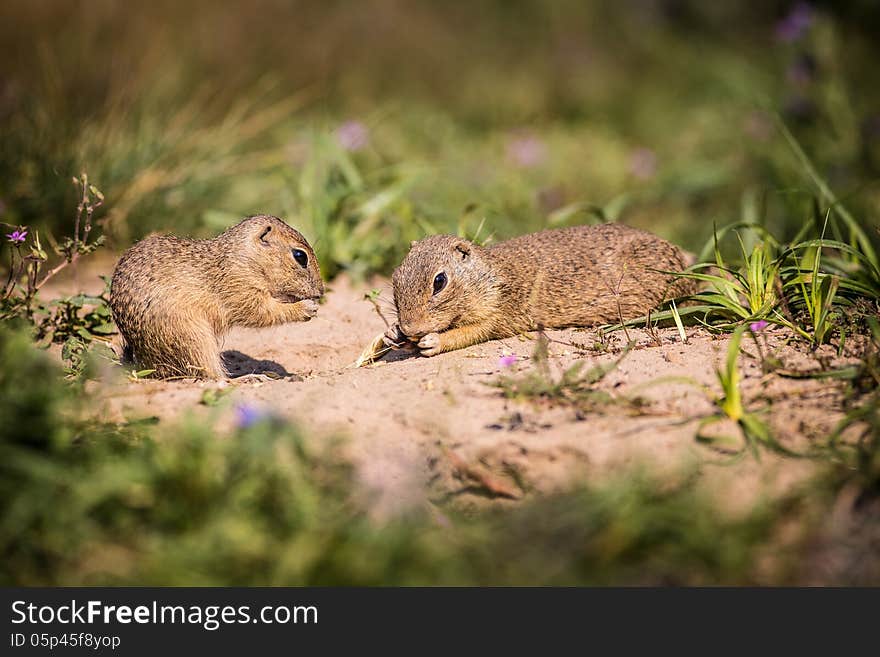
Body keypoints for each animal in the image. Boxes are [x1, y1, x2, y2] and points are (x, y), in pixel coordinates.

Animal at [110, 215, 324, 380]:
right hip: (194, 337)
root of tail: (150, 365)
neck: (241, 257)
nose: (321, 292)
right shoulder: (241, 289)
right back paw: (251, 377)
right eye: (300, 256)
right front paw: (305, 308)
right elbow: (263, 313)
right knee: (213, 376)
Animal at [384, 226, 696, 358]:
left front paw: (433, 341)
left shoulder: (493, 312)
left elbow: (472, 332)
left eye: (439, 281)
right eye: (396, 275)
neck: (488, 276)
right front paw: (392, 334)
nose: (411, 328)